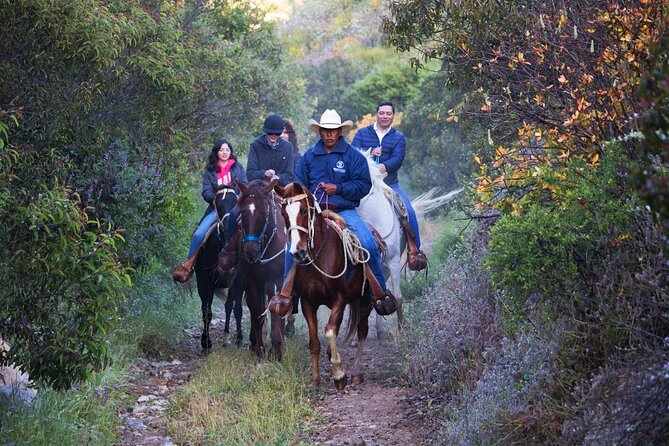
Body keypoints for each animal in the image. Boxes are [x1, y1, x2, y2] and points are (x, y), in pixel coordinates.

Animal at [194, 188, 244, 352]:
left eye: (235, 203)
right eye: (218, 205)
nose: (229, 225)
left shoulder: (237, 280)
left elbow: (237, 309)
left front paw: (239, 339)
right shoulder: (204, 280)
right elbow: (206, 312)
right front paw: (206, 343)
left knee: (229, 307)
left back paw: (227, 337)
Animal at [235, 179, 287, 360]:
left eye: (264, 212)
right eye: (242, 211)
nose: (251, 251)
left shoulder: (279, 279)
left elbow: (277, 310)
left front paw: (277, 350)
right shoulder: (251, 279)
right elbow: (256, 310)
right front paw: (259, 349)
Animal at [274, 182, 381, 390]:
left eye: (304, 211)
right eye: (284, 213)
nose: (297, 252)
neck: (319, 256)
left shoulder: (340, 297)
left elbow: (330, 331)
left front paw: (339, 375)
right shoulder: (308, 302)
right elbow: (315, 341)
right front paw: (315, 380)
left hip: (365, 300)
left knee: (362, 330)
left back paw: (356, 372)